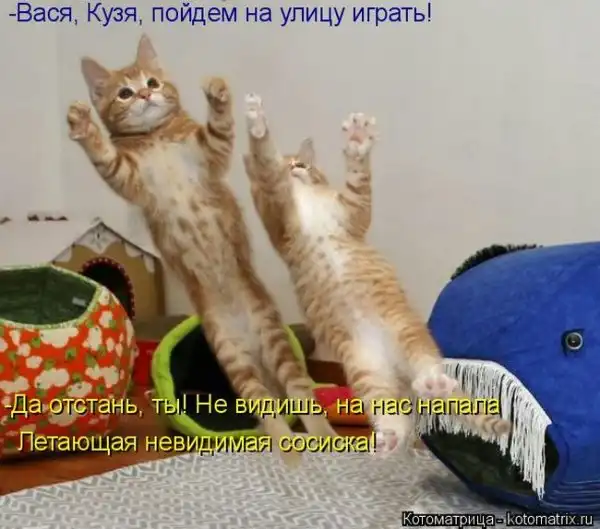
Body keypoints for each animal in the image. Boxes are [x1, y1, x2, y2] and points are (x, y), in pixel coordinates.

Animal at [66, 34, 337, 467]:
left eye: (153, 82)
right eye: (125, 93)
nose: (145, 94)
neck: (156, 137)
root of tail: (250, 339)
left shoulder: (210, 153)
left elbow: (220, 129)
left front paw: (218, 93)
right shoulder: (127, 177)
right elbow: (104, 155)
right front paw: (82, 125)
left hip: (276, 340)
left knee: (300, 395)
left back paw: (322, 437)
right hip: (231, 353)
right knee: (266, 405)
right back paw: (285, 450)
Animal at [241, 93, 513, 454]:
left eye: (303, 163)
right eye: (291, 164)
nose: (295, 168)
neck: (306, 201)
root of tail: (397, 370)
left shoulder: (353, 213)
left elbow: (358, 182)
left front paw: (357, 142)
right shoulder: (277, 218)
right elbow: (267, 172)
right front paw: (259, 131)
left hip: (409, 335)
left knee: (426, 371)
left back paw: (432, 385)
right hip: (364, 369)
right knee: (391, 410)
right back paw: (393, 435)